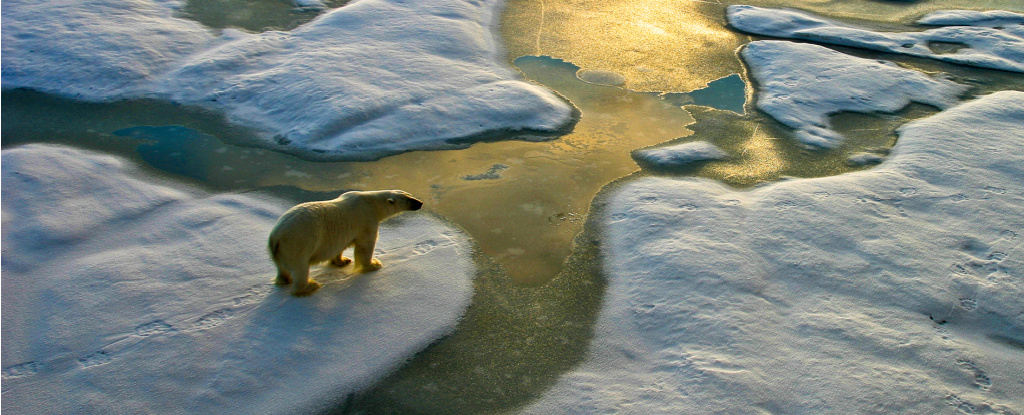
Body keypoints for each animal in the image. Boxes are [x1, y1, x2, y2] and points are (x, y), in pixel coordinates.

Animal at [268, 189, 423, 293]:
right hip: (298, 243)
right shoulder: (366, 220)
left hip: (280, 252)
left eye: (410, 195)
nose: (420, 203)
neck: (371, 203)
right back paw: (310, 286)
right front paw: (373, 264)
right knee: (300, 268)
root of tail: (275, 237)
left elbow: (340, 247)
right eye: (408, 199)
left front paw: (343, 261)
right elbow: (365, 246)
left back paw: (284, 280)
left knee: (282, 269)